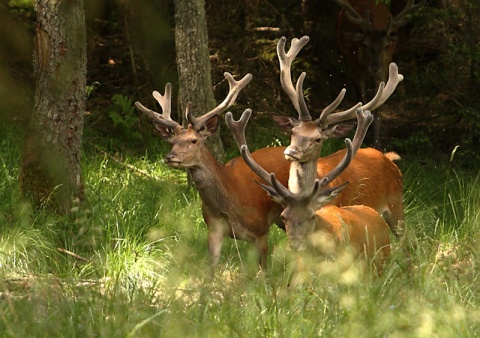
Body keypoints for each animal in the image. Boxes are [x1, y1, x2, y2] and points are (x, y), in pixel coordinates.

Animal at [334, 0, 424, 148]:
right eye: (364, 44)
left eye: (386, 46)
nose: (375, 67)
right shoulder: (357, 73)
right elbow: (364, 103)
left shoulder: (382, 74)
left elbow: (377, 111)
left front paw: (377, 144)